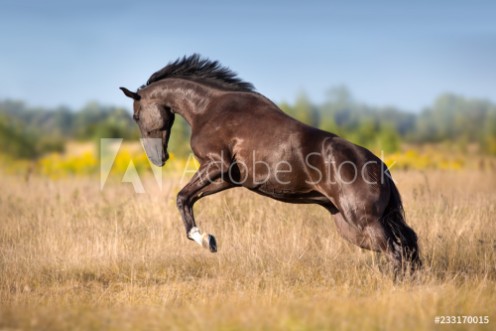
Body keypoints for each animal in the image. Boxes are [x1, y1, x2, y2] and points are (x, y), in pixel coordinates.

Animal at [119, 53, 418, 274]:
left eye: (135, 115)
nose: (158, 159)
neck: (209, 108)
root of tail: (379, 166)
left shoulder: (216, 165)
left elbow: (182, 197)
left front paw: (204, 240)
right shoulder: (228, 178)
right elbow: (190, 199)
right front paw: (207, 239)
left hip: (364, 221)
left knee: (397, 251)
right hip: (351, 227)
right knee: (407, 246)